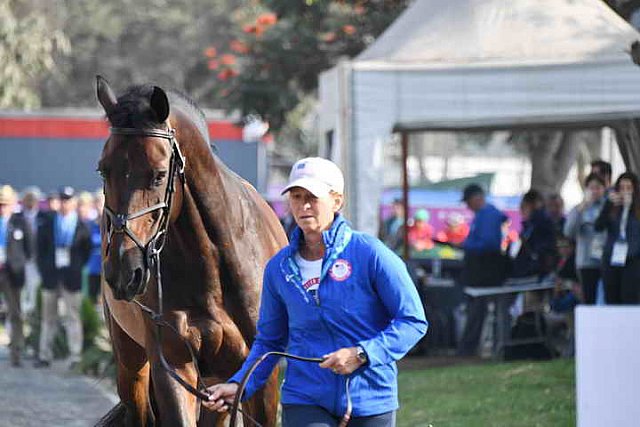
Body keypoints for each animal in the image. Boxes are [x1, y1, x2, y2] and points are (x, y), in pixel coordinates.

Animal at [95, 77, 284, 427]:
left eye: (158, 174)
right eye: (103, 170)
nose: (123, 271)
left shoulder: (259, 373)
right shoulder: (174, 366)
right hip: (133, 366)